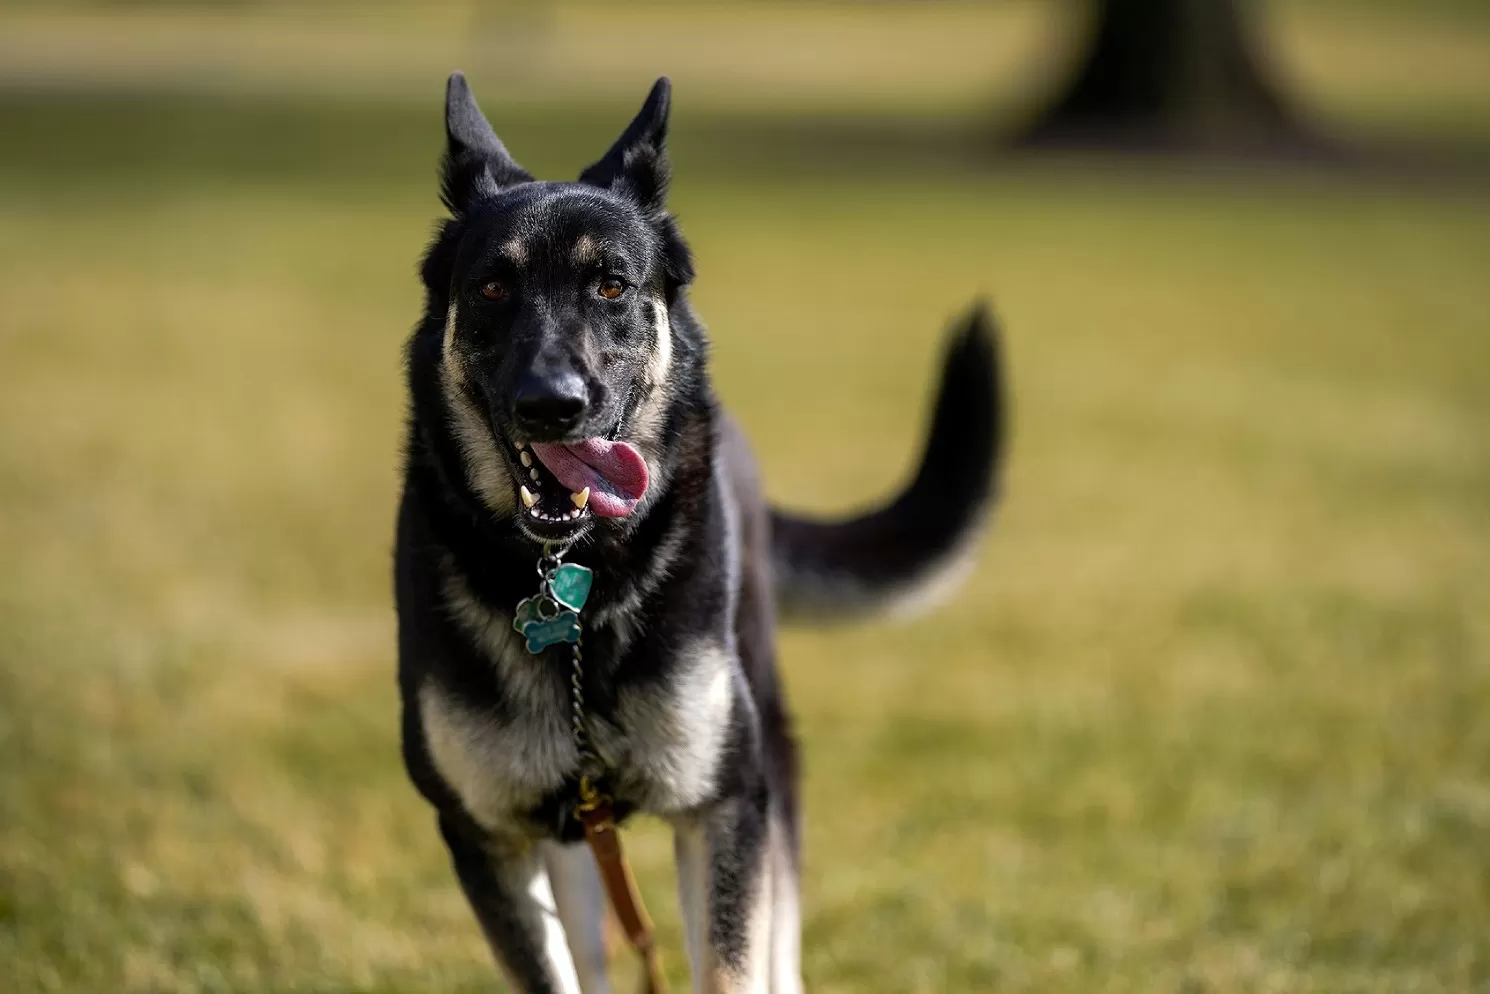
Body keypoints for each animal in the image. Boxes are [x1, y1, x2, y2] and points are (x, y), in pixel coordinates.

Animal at [393, 71, 1001, 994]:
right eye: (493, 288)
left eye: (612, 285)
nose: (551, 404)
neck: (576, 584)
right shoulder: (488, 834)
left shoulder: (724, 809)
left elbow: (731, 964)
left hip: (770, 757)